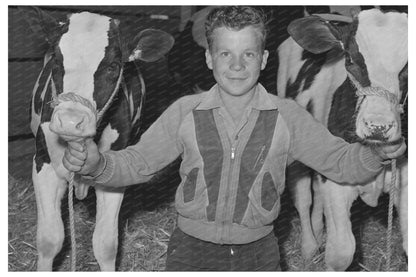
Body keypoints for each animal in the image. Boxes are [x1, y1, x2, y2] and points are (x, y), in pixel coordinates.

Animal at [21, 7, 174, 270]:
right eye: (57, 61)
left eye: (113, 66)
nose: (71, 122)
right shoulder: (43, 164)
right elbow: (50, 239)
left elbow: (106, 244)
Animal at [278, 8, 408, 270]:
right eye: (349, 59)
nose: (378, 126)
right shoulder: (337, 183)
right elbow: (341, 252)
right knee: (304, 198)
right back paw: (309, 247)